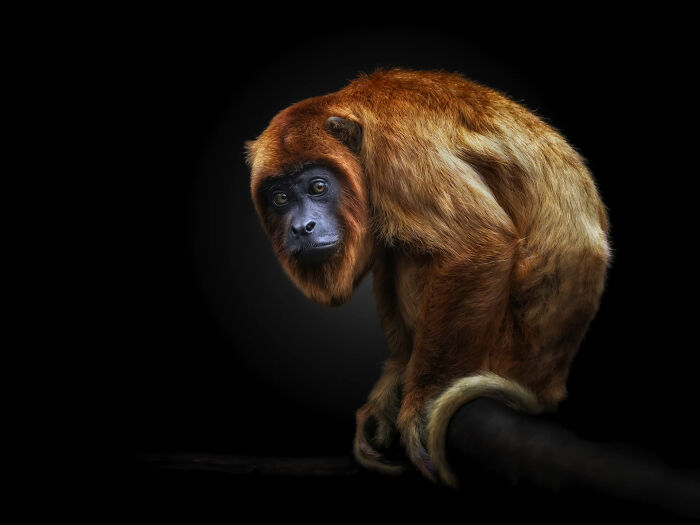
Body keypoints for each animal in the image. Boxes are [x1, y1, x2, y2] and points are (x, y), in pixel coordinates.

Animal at [245, 68, 610, 487]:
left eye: (317, 186)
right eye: (280, 198)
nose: (301, 228)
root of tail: (548, 383)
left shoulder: (397, 149)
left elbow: (479, 246)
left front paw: (421, 401)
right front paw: (391, 388)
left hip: (504, 346)